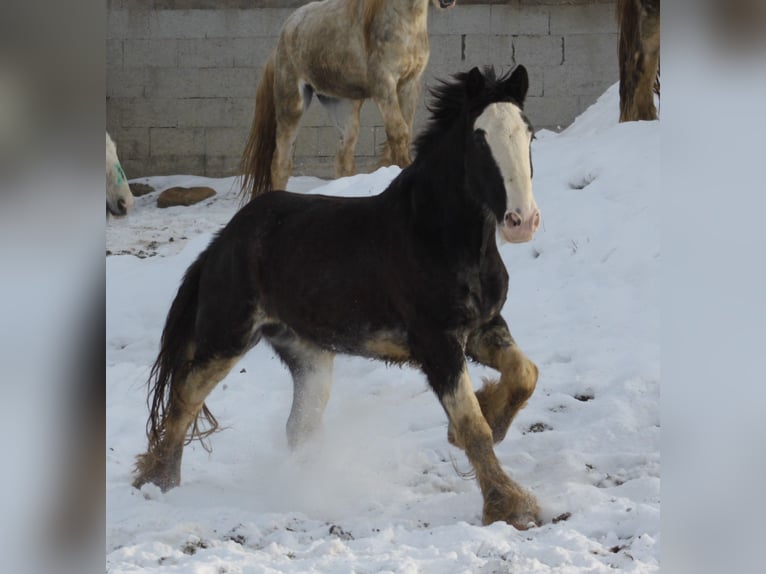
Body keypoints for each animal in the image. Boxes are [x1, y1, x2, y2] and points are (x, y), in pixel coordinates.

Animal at [135, 66, 544, 532]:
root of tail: (220, 243)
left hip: (309, 357)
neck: (439, 237)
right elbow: (472, 425)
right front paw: (510, 505)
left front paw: (493, 417)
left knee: (299, 428)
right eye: (479, 138)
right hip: (226, 339)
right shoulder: (437, 343)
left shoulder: (482, 327)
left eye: (528, 133)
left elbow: (524, 374)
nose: (521, 222)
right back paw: (158, 480)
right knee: (185, 396)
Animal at [240, 0, 456, 202]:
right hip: (291, 105)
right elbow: (398, 131)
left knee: (343, 158)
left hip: (344, 108)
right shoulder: (383, 84)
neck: (403, 20)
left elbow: (404, 130)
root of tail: (285, 32)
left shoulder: (410, 85)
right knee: (281, 163)